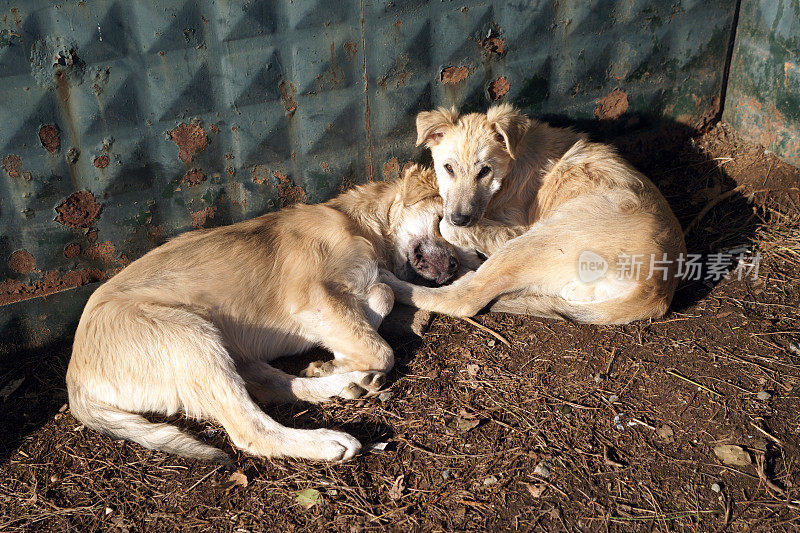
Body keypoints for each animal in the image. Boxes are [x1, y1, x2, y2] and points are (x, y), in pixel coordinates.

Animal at [64, 164, 456, 464]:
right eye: (444, 222)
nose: (454, 267)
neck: (356, 224)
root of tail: (73, 378)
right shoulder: (312, 297)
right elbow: (382, 345)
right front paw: (346, 359)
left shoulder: (349, 292)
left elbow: (381, 295)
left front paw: (334, 362)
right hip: (190, 337)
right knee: (250, 427)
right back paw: (328, 440)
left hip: (222, 345)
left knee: (271, 384)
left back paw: (345, 382)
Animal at [382, 102, 688, 322]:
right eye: (448, 168)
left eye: (485, 171)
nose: (460, 217)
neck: (512, 169)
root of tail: (656, 290)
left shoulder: (515, 228)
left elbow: (448, 227)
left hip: (540, 239)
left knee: (465, 299)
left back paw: (391, 283)